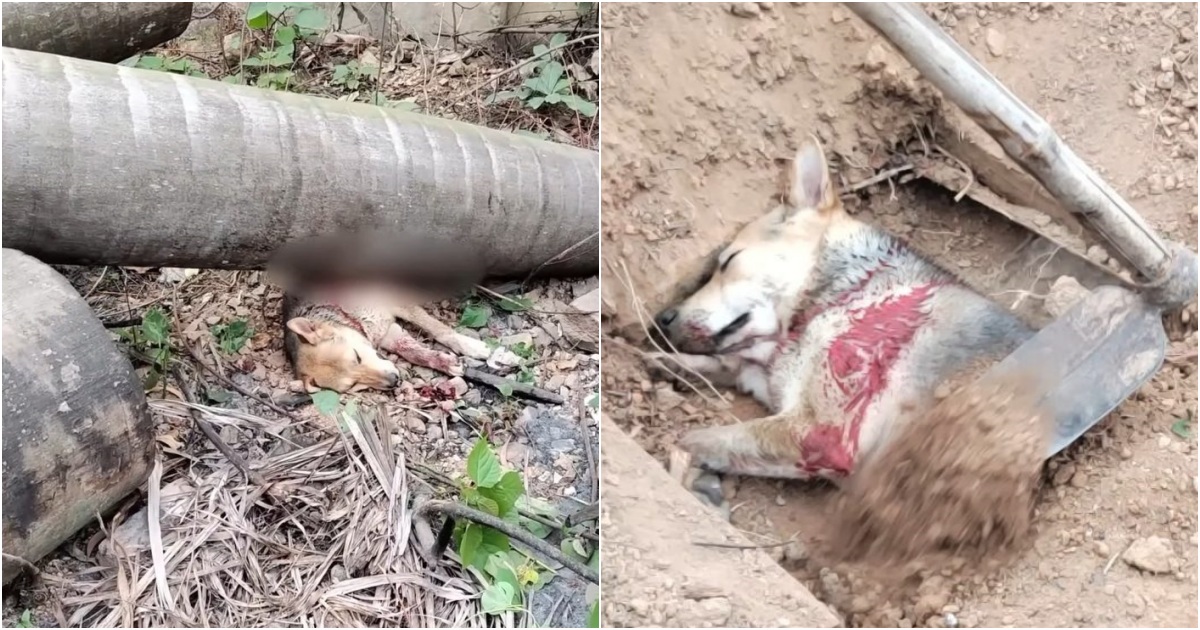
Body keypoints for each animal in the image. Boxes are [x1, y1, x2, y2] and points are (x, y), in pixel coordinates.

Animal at [648, 137, 1032, 480]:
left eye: (728, 261)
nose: (662, 319)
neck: (847, 292)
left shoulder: (818, 433)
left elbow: (705, 438)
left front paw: (682, 455)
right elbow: (727, 365)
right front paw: (670, 363)